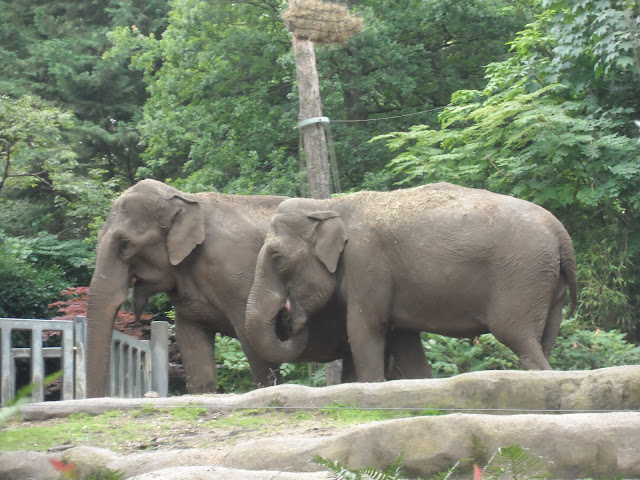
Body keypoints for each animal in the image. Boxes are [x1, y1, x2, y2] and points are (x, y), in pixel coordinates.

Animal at [82, 180, 428, 398]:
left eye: (124, 244)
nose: (290, 314)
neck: (188, 200)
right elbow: (190, 339)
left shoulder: (236, 273)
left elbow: (251, 341)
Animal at [245, 182, 580, 380]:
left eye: (277, 258)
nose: (288, 316)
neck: (330, 205)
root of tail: (561, 233)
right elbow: (404, 342)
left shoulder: (367, 265)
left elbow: (364, 331)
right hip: (550, 286)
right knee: (544, 341)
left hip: (523, 277)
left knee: (518, 337)